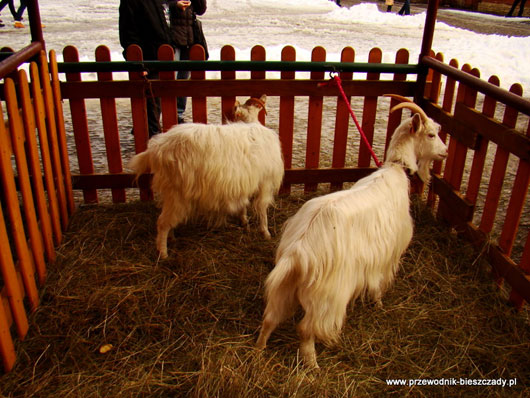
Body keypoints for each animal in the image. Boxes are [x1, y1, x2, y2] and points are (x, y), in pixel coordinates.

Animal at [127, 95, 280, 260]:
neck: (251, 123)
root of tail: (157, 148)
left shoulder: (244, 181)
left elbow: (243, 203)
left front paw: (244, 220)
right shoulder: (265, 182)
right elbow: (262, 209)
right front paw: (266, 233)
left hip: (171, 193)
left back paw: (172, 239)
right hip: (178, 193)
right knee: (162, 223)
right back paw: (163, 253)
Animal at [256, 98, 446, 368]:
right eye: (431, 134)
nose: (445, 152)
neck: (396, 170)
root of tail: (300, 251)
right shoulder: (387, 255)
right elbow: (378, 284)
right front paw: (378, 304)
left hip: (286, 284)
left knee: (270, 317)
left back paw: (259, 350)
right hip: (330, 295)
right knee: (306, 328)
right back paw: (312, 364)